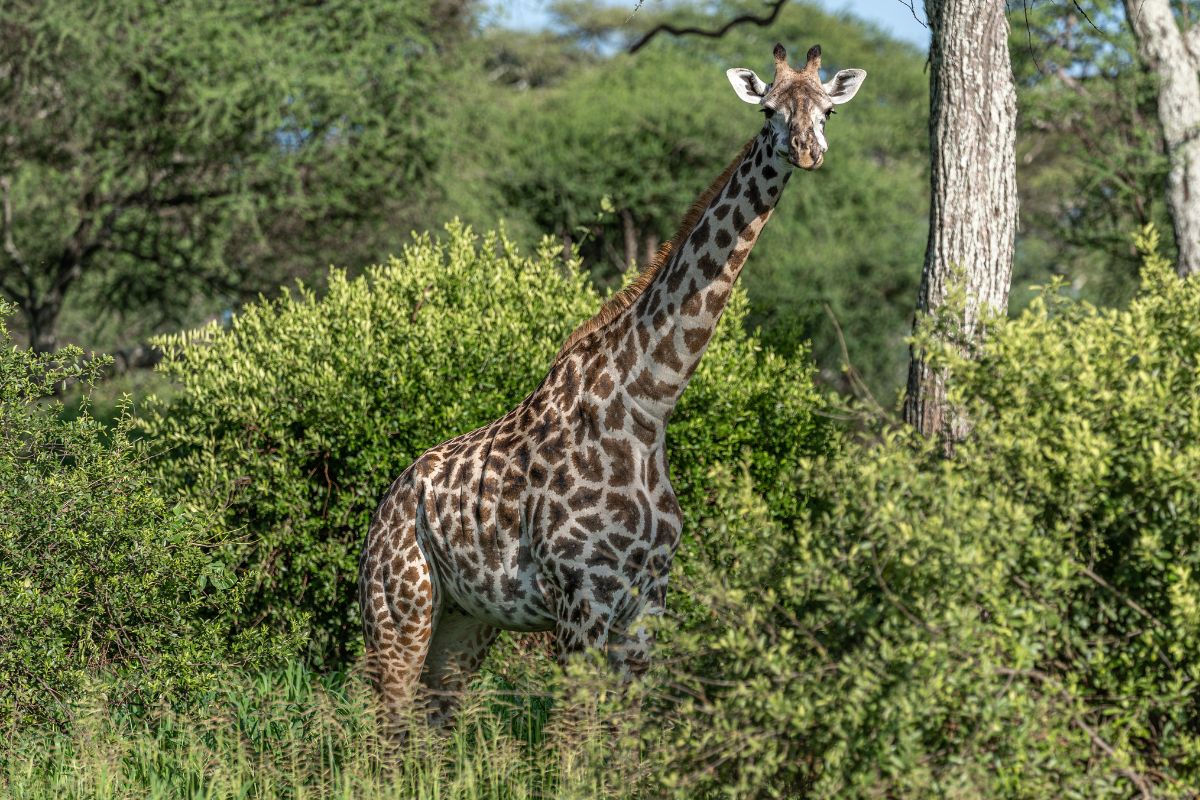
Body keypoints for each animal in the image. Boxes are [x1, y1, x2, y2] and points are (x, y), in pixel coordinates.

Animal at [359, 42, 865, 732]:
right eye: (767, 110)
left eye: (827, 111)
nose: (808, 150)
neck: (650, 403)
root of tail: (385, 504)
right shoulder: (582, 600)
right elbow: (571, 737)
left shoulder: (646, 605)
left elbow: (621, 739)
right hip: (399, 609)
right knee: (385, 725)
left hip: (467, 620)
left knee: (435, 724)